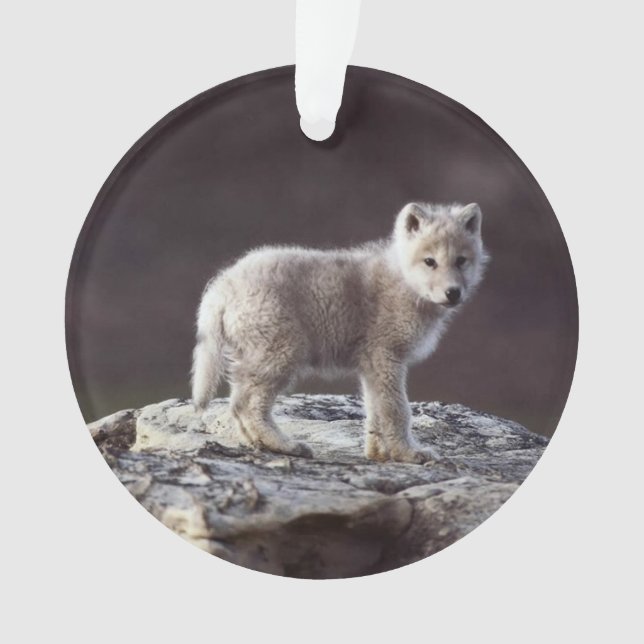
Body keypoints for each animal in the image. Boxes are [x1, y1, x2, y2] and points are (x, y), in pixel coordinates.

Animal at [191, 202, 489, 463]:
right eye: (430, 262)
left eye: (461, 261)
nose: (453, 293)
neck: (404, 282)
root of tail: (223, 284)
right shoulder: (387, 357)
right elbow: (397, 410)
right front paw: (408, 454)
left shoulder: (372, 367)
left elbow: (375, 411)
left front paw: (378, 454)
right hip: (281, 354)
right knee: (249, 406)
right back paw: (286, 445)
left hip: (259, 357)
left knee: (237, 402)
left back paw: (260, 444)